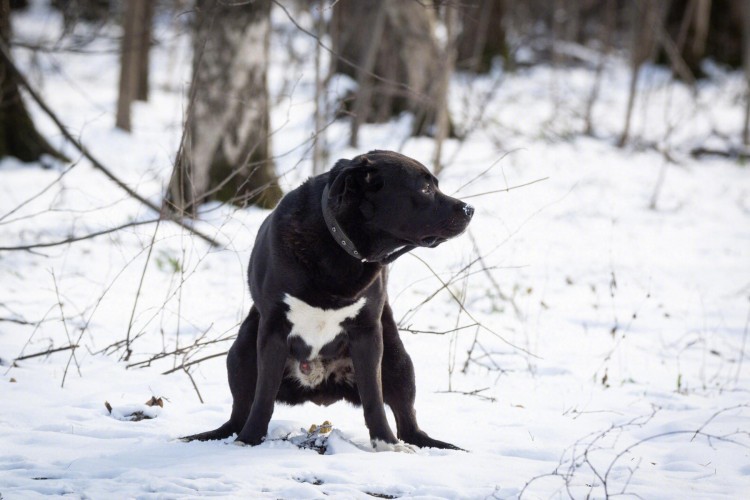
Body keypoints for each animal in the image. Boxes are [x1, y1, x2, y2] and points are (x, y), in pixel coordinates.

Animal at [184, 150, 472, 452]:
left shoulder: (368, 332)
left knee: (409, 425)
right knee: (239, 413)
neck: (339, 246)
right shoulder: (273, 329)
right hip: (242, 347)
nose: (469, 210)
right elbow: (263, 395)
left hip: (398, 358)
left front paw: (385, 444)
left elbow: (373, 396)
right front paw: (249, 440)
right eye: (425, 188)